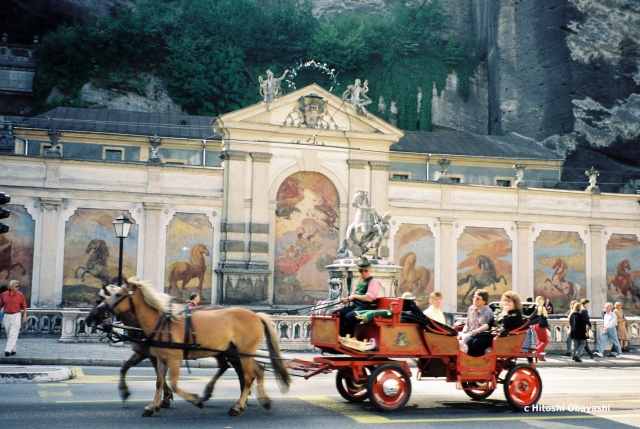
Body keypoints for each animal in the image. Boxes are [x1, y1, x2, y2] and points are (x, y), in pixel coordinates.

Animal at [87, 278, 290, 414]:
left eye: (118, 295)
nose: (91, 318)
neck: (161, 323)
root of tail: (256, 315)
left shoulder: (173, 359)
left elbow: (174, 384)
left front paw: (193, 400)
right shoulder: (160, 358)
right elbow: (158, 381)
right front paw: (154, 405)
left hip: (242, 352)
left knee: (247, 376)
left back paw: (238, 405)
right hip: (237, 352)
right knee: (255, 370)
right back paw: (260, 399)